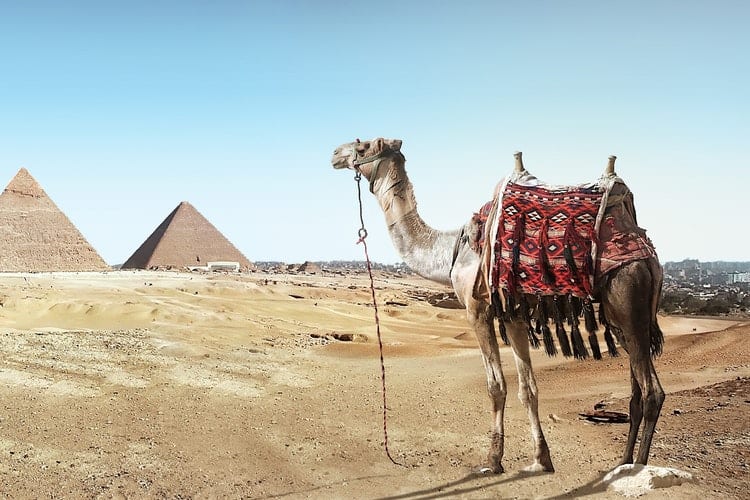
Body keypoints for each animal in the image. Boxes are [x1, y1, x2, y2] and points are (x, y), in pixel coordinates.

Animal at [331, 137, 665, 474]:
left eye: (363, 146)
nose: (335, 154)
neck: (450, 250)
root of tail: (648, 256)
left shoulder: (476, 309)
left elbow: (496, 386)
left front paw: (493, 461)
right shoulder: (512, 314)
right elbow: (528, 389)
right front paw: (541, 459)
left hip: (629, 296)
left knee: (652, 393)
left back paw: (639, 467)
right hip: (621, 318)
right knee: (636, 393)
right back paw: (622, 464)